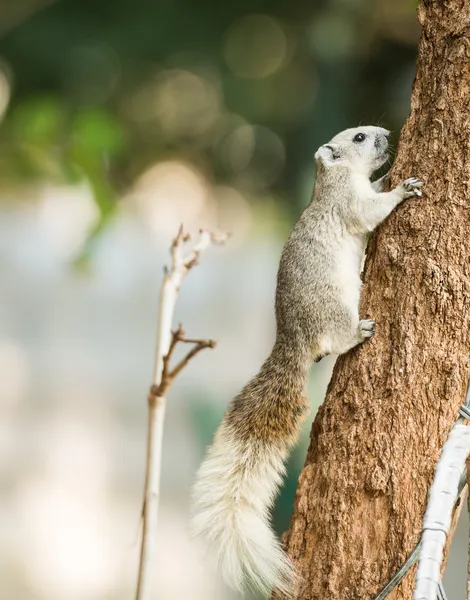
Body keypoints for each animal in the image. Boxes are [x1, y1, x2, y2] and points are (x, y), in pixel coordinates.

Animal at [189, 125, 424, 596]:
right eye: (359, 137)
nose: (387, 133)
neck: (334, 180)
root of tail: (293, 343)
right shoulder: (351, 205)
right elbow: (372, 210)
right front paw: (402, 189)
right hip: (333, 309)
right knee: (338, 339)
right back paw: (360, 332)